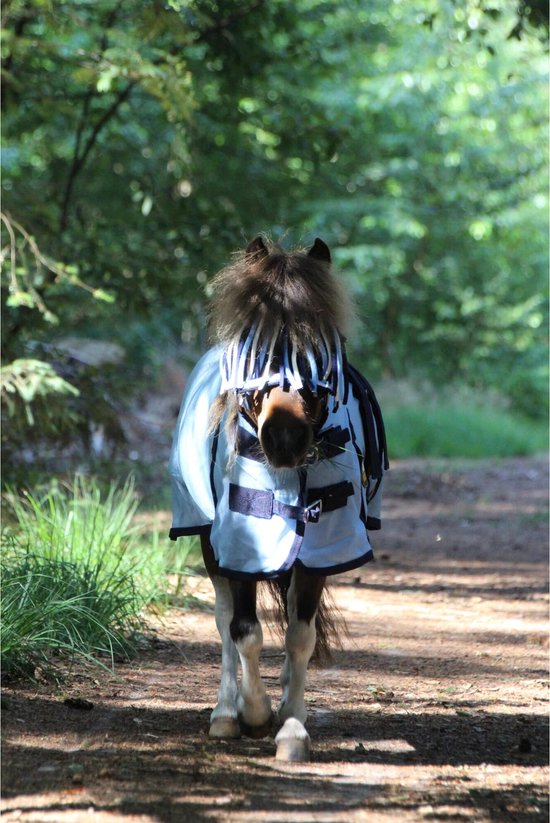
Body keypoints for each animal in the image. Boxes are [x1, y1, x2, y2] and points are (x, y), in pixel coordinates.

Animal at [169, 236, 388, 761]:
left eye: (323, 347)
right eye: (255, 347)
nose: (284, 438)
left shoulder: (322, 546)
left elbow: (300, 634)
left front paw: (291, 724)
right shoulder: (239, 544)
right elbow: (244, 631)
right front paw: (254, 712)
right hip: (208, 541)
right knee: (224, 619)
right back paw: (224, 713)